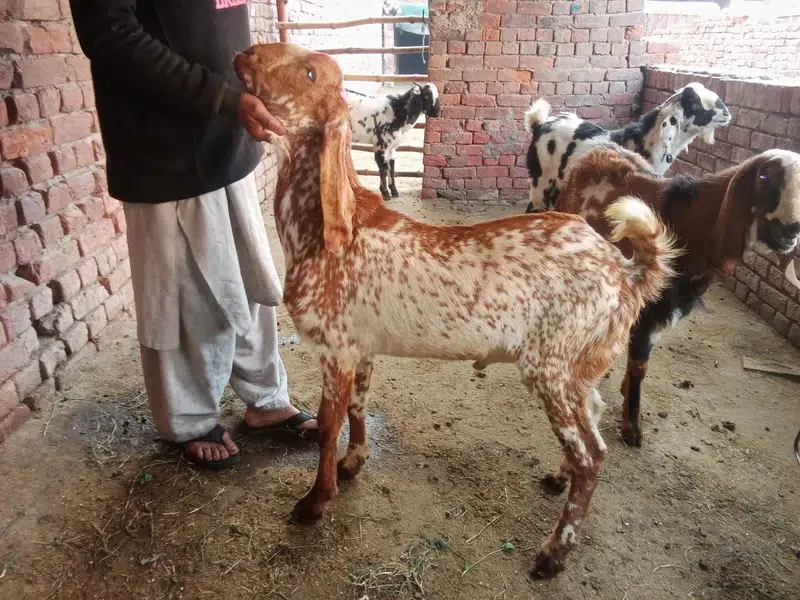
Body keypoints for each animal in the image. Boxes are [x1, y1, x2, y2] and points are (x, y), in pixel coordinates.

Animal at [234, 42, 681, 579]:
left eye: (308, 73)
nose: (246, 54)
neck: (324, 229)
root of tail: (626, 271)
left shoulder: (335, 348)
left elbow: (326, 425)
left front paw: (315, 502)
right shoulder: (360, 348)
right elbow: (358, 408)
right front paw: (354, 463)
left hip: (550, 367)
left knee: (592, 453)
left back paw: (553, 553)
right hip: (581, 365)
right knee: (592, 416)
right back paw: (558, 479)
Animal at [553, 143, 800, 448]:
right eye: (765, 177)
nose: (790, 230)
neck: (691, 224)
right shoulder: (648, 307)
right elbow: (640, 364)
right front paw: (632, 428)